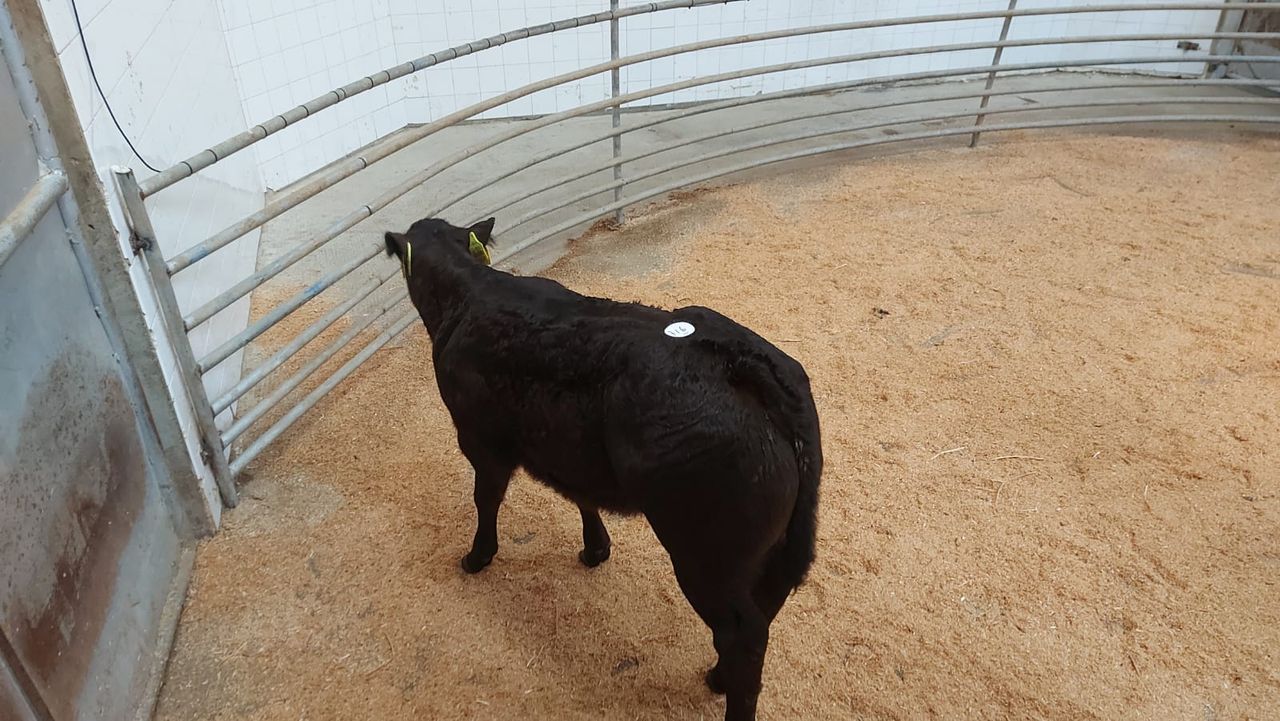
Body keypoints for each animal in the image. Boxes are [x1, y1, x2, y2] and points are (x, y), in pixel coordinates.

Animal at [384, 216, 822, 721]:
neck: (468, 295)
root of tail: (741, 361)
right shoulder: (571, 452)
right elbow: (581, 495)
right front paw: (595, 549)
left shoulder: (480, 439)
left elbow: (486, 499)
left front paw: (477, 557)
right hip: (771, 548)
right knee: (764, 608)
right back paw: (718, 677)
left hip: (706, 553)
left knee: (743, 635)